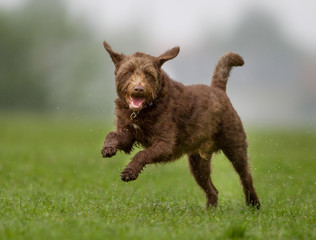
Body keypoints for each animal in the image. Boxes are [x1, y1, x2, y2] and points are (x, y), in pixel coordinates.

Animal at [101, 41, 260, 210]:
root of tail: (218, 90)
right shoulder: (127, 134)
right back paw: (210, 211)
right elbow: (113, 135)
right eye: (128, 72)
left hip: (235, 146)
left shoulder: (165, 144)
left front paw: (129, 171)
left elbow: (142, 154)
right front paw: (108, 147)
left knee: (246, 177)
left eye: (149, 74)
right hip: (198, 162)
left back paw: (254, 205)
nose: (139, 89)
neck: (144, 110)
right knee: (213, 189)